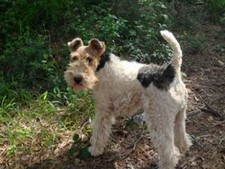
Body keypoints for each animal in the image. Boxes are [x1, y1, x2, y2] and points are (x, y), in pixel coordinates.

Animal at [63, 30, 192, 169]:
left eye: (89, 59)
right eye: (73, 58)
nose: (77, 78)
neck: (100, 68)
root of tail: (172, 70)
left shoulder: (103, 109)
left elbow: (99, 130)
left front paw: (95, 149)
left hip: (158, 118)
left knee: (169, 151)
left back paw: (165, 164)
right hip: (179, 115)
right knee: (182, 138)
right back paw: (184, 149)